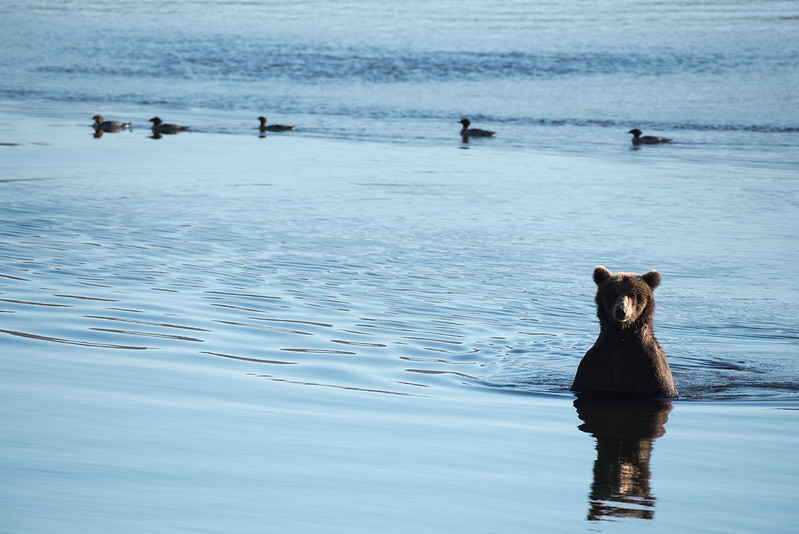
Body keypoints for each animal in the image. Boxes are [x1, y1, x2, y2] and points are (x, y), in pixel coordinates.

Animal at [572, 266, 680, 398]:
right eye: (614, 293)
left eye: (633, 294)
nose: (621, 311)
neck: (622, 337)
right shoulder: (594, 367)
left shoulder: (653, 371)